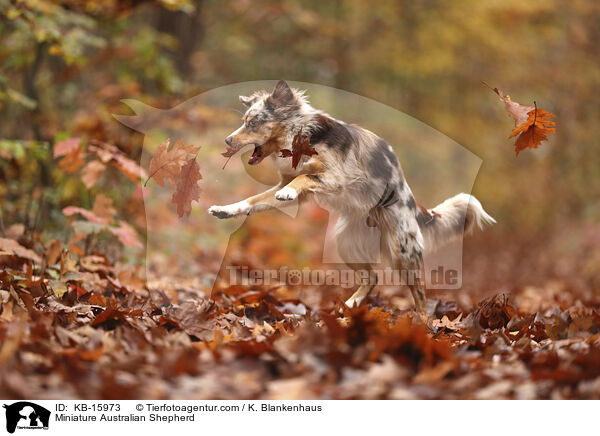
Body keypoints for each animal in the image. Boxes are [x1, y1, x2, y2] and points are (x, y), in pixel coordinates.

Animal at [209, 80, 494, 314]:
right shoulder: (292, 184)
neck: (300, 135)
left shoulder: (338, 178)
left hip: (403, 252)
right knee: (373, 278)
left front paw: (287, 192)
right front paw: (226, 209)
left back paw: (422, 324)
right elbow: (254, 201)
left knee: (421, 296)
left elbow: (305, 178)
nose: (227, 139)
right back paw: (349, 306)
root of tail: (413, 206)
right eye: (245, 120)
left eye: (254, 122)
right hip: (346, 241)